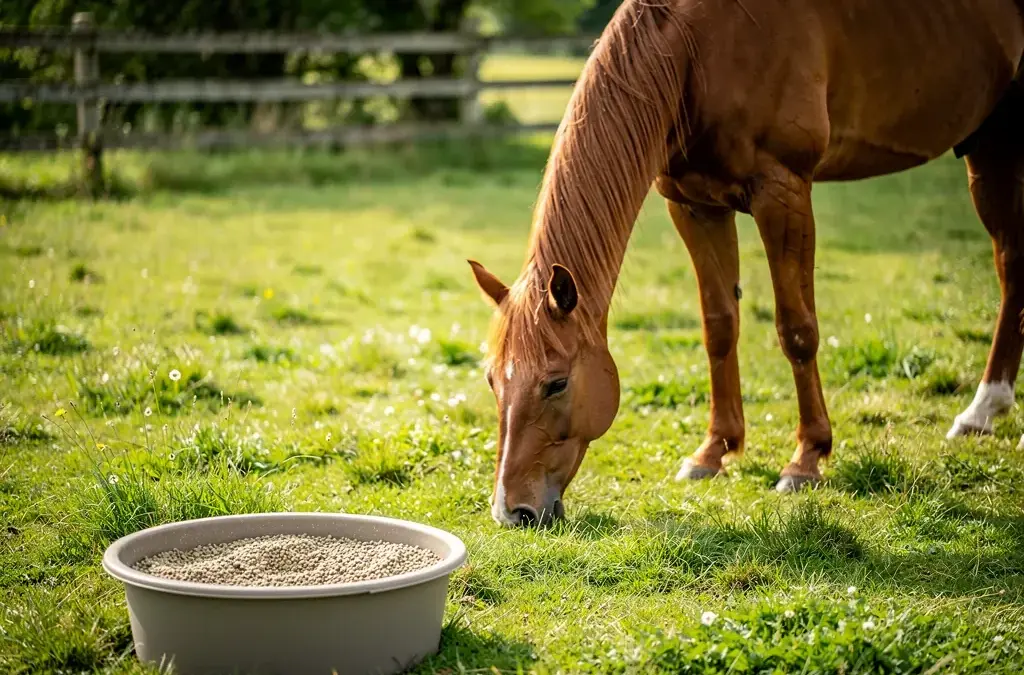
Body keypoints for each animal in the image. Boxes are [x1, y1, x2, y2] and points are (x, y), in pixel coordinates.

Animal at [468, 0, 1024, 527]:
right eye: (493, 380)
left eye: (557, 383)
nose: (513, 511)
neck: (697, 50)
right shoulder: (694, 205)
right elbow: (719, 327)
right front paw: (713, 452)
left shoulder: (783, 193)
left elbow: (797, 330)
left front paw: (806, 459)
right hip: (988, 145)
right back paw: (985, 412)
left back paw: (984, 409)